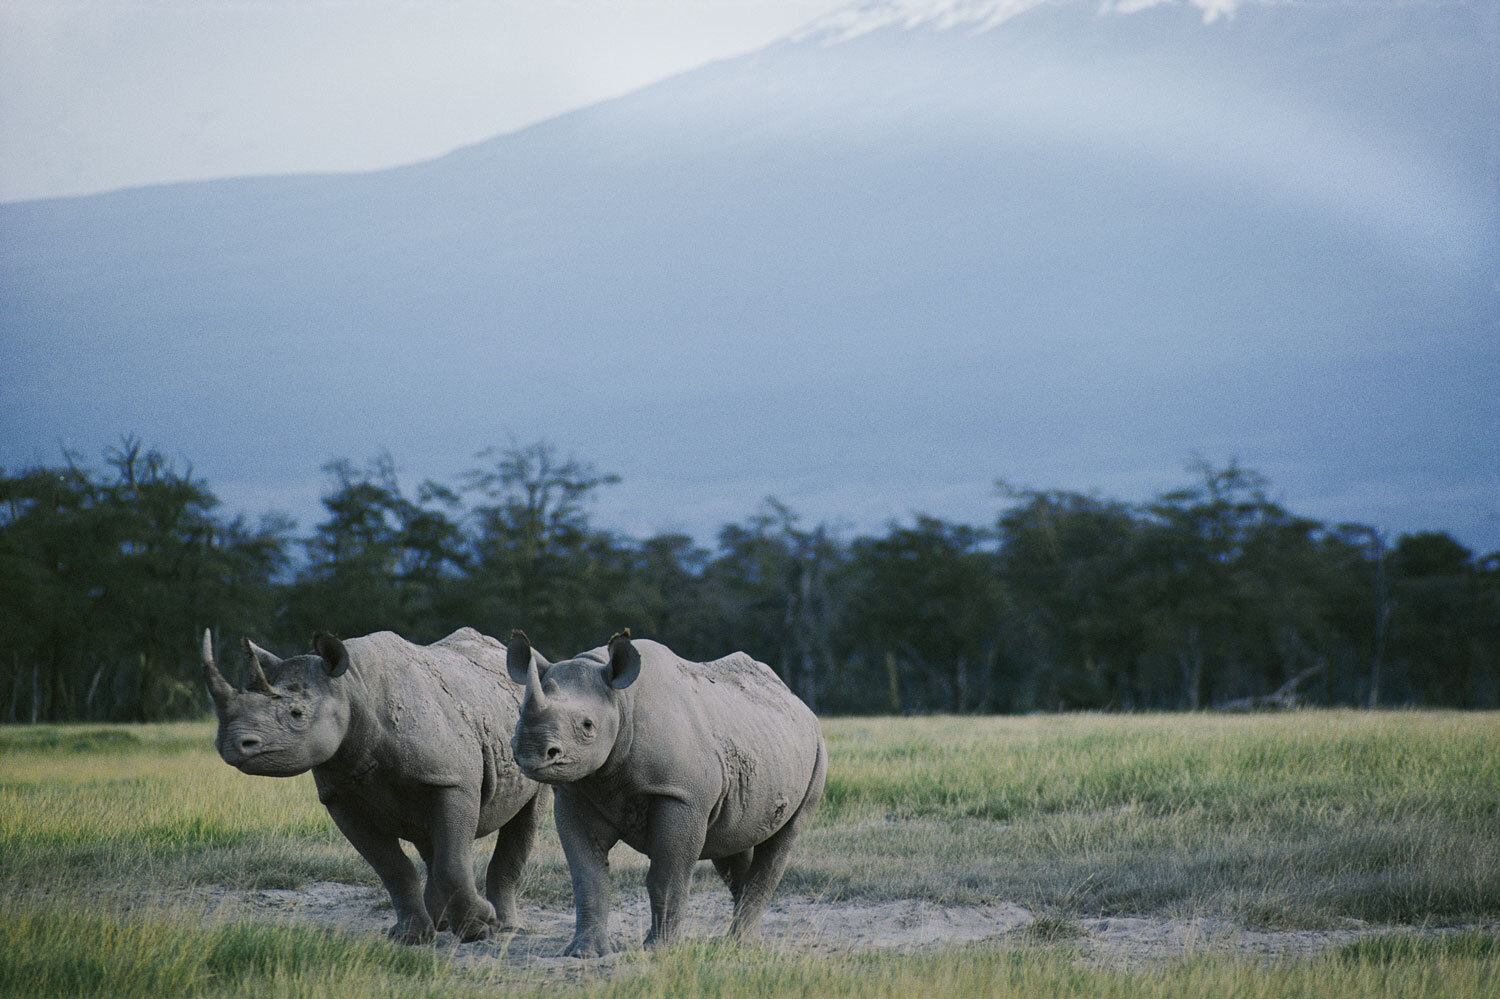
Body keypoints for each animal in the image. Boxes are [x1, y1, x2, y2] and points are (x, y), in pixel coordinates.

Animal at [202, 624, 549, 942]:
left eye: (297, 713)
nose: (231, 744)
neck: (352, 688)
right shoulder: (340, 798)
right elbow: (392, 868)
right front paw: (411, 936)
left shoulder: (451, 782)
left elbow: (451, 862)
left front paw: (479, 930)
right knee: (431, 842)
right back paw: (441, 924)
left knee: (523, 820)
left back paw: (506, 928)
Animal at [510, 627, 828, 954]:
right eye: (519, 711)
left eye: (587, 725)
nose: (531, 751)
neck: (621, 701)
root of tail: (797, 700)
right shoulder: (575, 793)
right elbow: (587, 876)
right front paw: (584, 952)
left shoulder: (680, 795)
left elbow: (667, 875)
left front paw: (659, 949)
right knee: (731, 841)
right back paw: (736, 941)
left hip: (818, 751)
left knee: (782, 841)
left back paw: (742, 944)